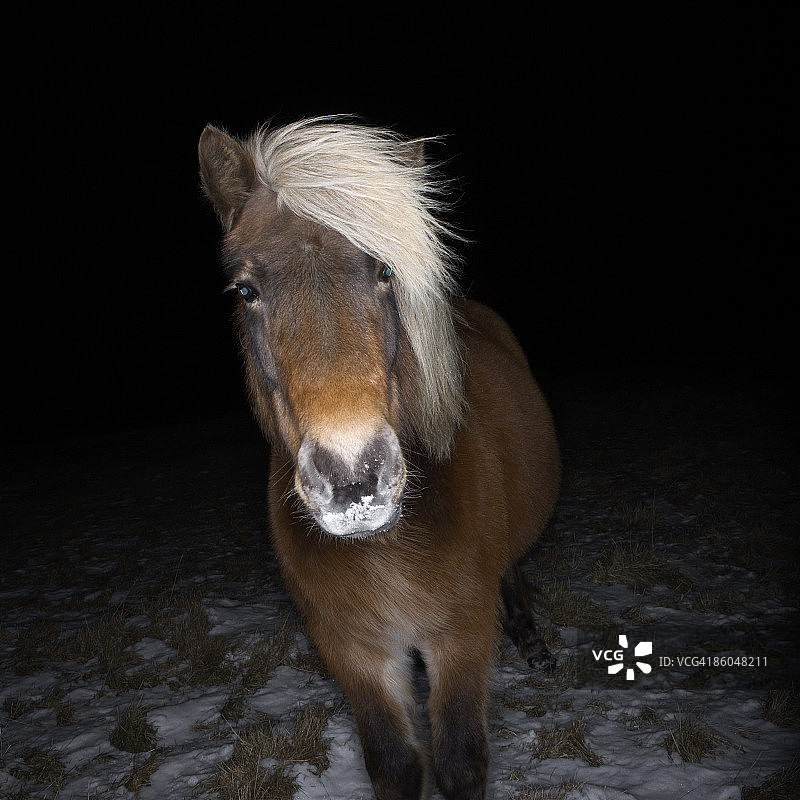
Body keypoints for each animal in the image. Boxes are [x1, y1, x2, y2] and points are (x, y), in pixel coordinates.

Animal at [198, 116, 561, 800]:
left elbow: (460, 761)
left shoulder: (461, 637)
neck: (390, 549)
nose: (354, 478)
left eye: (387, 273)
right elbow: (394, 764)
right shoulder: (353, 651)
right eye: (246, 288)